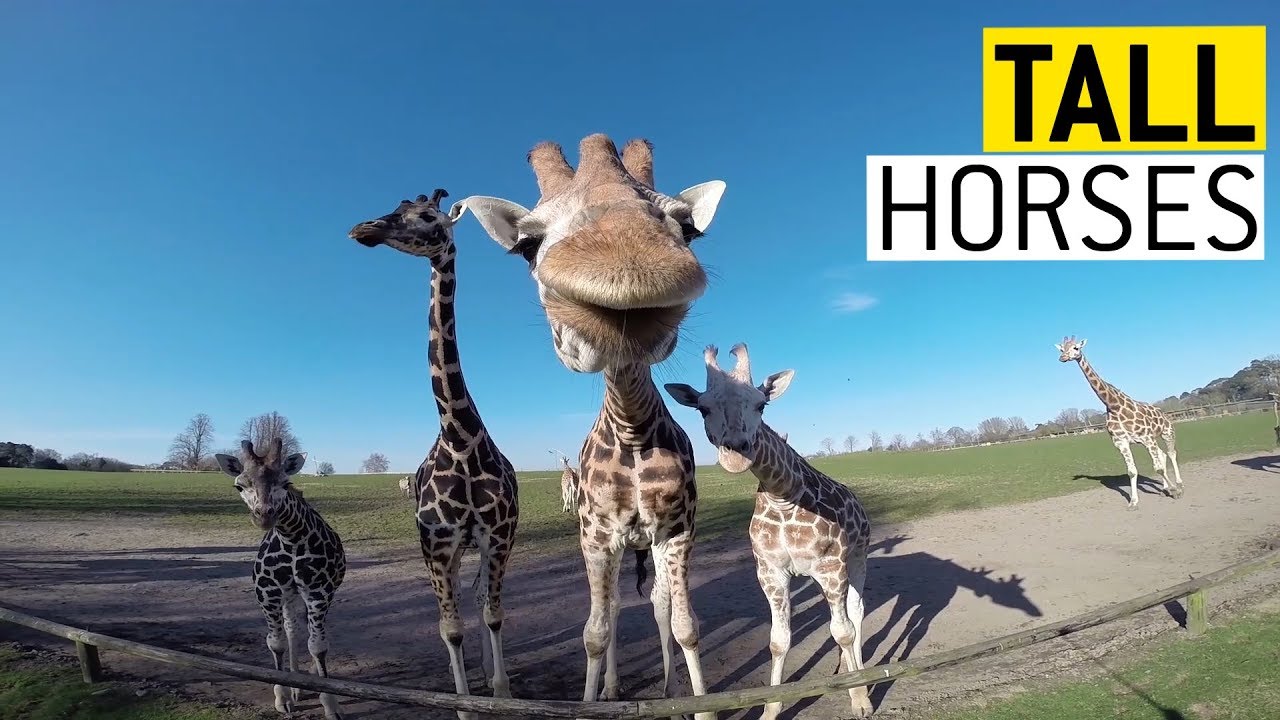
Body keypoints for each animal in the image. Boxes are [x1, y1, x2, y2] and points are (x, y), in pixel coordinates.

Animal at [214, 438, 347, 720]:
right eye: (239, 485)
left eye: (286, 483)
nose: (264, 515)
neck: (291, 539)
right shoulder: (268, 594)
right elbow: (276, 643)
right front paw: (283, 697)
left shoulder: (319, 592)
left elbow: (318, 646)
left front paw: (330, 704)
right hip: (289, 595)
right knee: (291, 629)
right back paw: (297, 687)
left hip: (310, 594)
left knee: (305, 631)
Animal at [349, 190, 519, 717]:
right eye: (394, 208)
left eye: (426, 216)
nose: (363, 228)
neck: (460, 438)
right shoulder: (437, 542)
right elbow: (450, 626)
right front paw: (463, 703)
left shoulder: (497, 536)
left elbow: (494, 614)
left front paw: (500, 690)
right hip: (447, 548)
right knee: (456, 607)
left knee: (481, 597)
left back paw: (488, 671)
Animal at [458, 134, 724, 716]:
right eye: (525, 244)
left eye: (689, 227)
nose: (629, 264)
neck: (631, 430)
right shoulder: (597, 535)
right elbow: (595, 633)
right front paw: (593, 696)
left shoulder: (676, 529)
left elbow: (687, 625)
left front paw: (695, 700)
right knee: (617, 610)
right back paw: (612, 688)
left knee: (655, 606)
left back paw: (662, 688)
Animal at [666, 344, 875, 719]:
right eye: (703, 408)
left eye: (761, 404)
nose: (736, 452)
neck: (784, 499)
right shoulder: (771, 572)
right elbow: (779, 640)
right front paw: (770, 709)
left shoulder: (831, 567)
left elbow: (844, 631)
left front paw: (861, 700)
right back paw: (842, 670)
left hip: (857, 557)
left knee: (855, 612)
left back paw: (859, 676)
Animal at [1056, 336, 1185, 509]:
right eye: (1062, 349)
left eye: (1076, 348)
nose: (1062, 358)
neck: (1114, 405)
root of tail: (1165, 415)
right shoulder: (1121, 442)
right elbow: (1132, 471)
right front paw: (1133, 502)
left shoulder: (1146, 438)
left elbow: (1157, 468)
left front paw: (1174, 491)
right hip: (1152, 440)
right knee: (1163, 455)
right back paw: (1164, 488)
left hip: (1167, 433)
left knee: (1171, 453)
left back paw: (1179, 485)